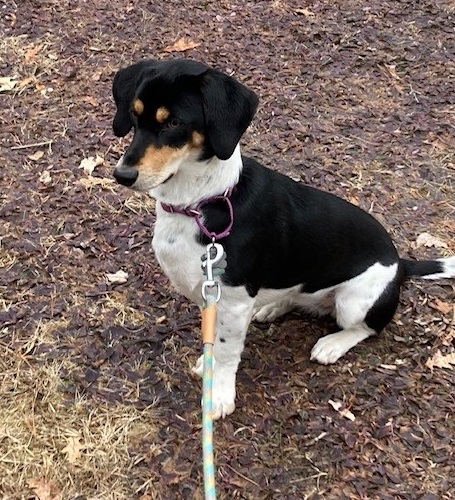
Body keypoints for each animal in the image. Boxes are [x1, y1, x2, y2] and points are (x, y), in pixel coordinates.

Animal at [112, 59, 455, 419]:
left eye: (174, 122)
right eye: (134, 115)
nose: (122, 175)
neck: (204, 201)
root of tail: (400, 263)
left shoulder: (232, 302)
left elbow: (226, 351)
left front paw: (219, 394)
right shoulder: (213, 296)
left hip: (355, 302)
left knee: (366, 327)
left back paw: (332, 344)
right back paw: (274, 305)